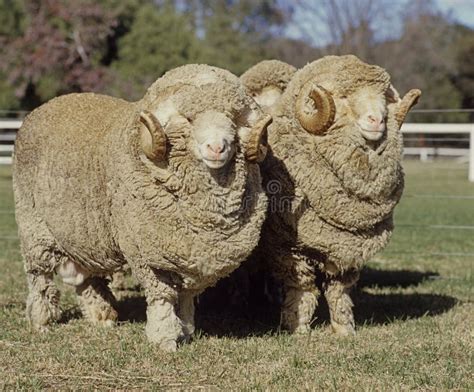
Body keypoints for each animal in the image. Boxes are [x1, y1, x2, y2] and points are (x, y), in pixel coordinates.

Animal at [13, 62, 270, 350]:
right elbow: (162, 297)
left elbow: (185, 298)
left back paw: (102, 316)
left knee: (87, 279)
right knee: (40, 278)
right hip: (34, 229)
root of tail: (44, 106)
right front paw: (165, 339)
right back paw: (42, 321)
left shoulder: (190, 258)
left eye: (233, 121)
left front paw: (186, 331)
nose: (217, 147)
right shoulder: (149, 256)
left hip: (84, 235)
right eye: (188, 120)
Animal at [258, 55, 420, 336]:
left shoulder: (347, 249)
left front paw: (344, 329)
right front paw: (298, 327)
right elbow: (303, 289)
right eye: (344, 97)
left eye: (383, 97)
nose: (377, 121)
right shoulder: (287, 248)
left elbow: (339, 292)